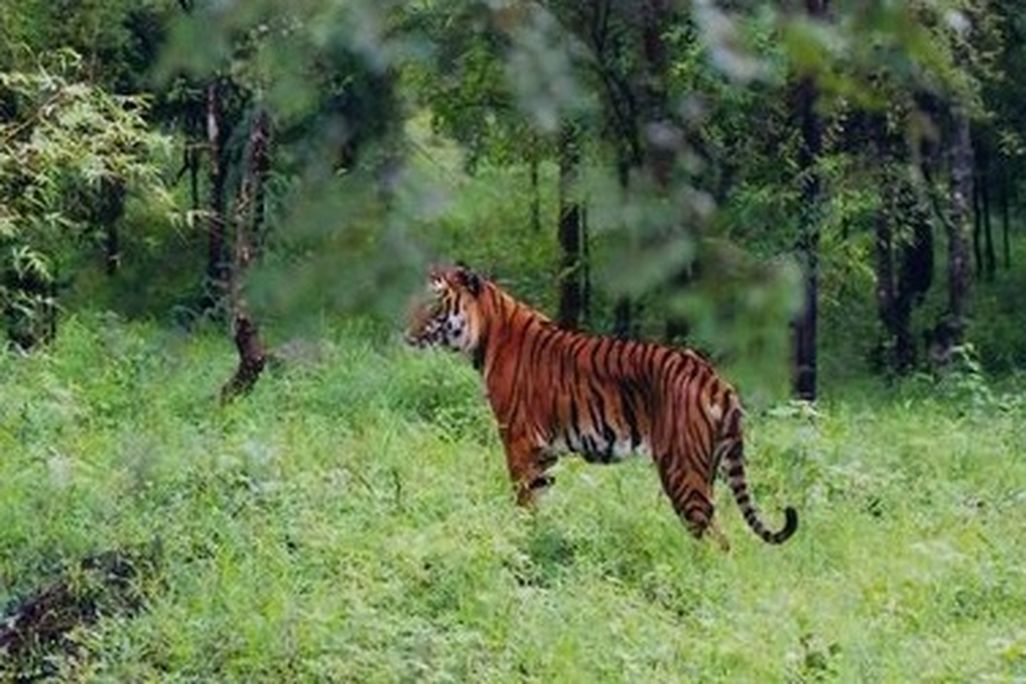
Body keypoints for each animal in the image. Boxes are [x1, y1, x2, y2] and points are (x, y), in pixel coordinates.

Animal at [405, 263, 798, 547]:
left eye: (435, 303)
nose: (405, 333)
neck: (486, 333)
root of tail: (713, 378)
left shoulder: (517, 438)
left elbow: (522, 499)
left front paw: (519, 539)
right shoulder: (543, 452)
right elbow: (539, 498)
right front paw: (537, 540)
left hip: (682, 469)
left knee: (716, 539)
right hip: (710, 465)